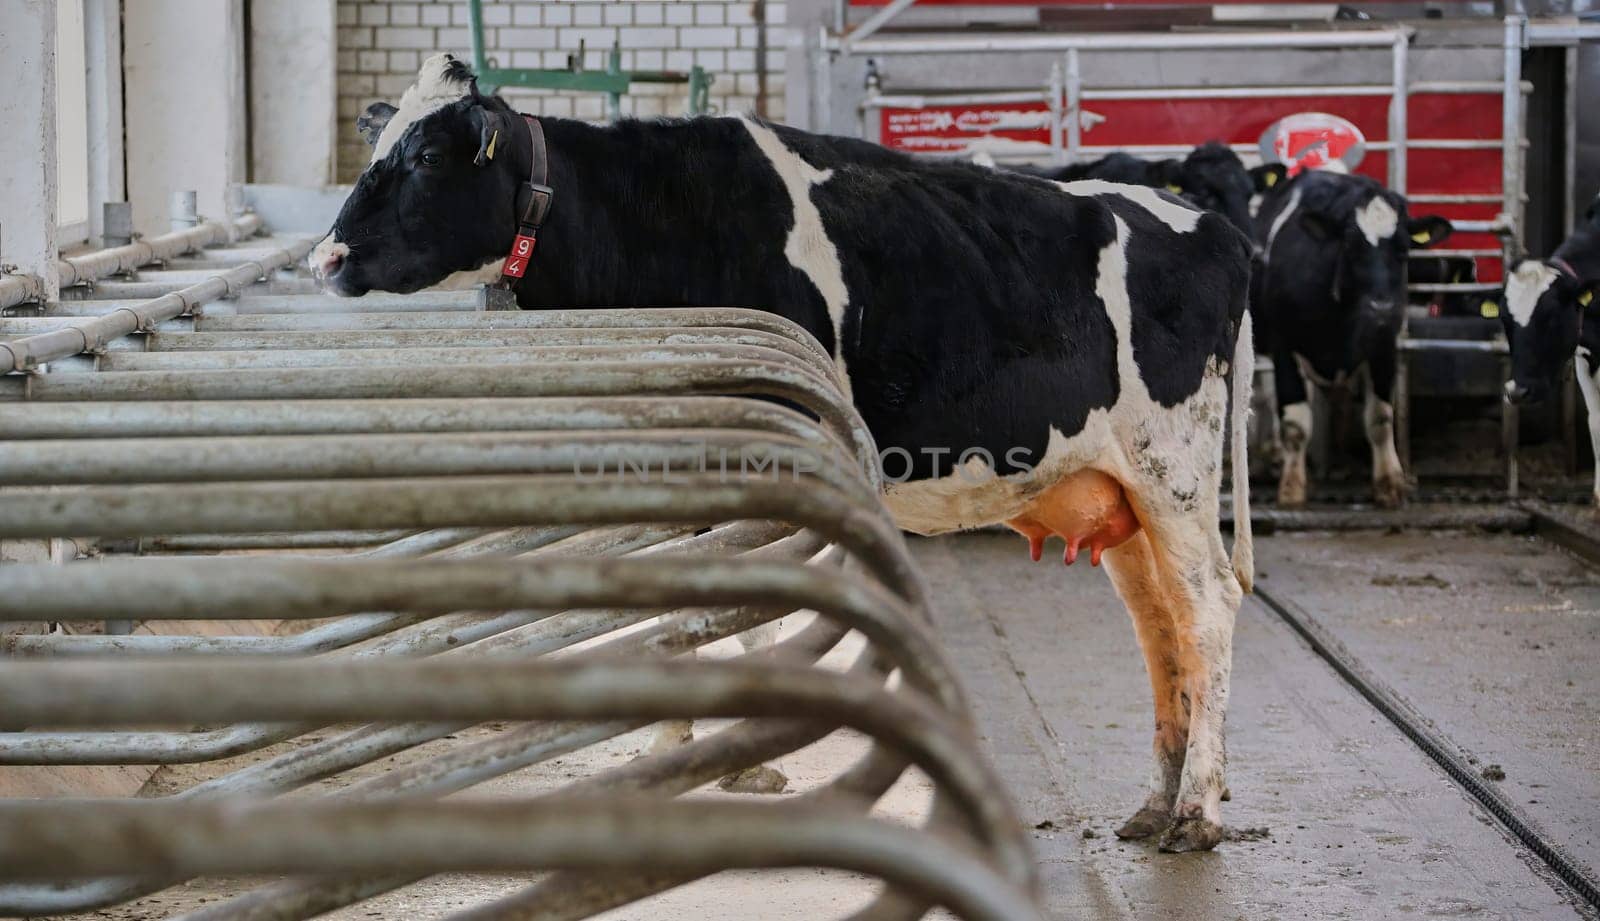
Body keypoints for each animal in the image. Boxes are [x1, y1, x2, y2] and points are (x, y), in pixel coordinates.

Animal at [312, 55, 1260, 850]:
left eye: (427, 156)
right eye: (382, 142)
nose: (326, 257)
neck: (641, 215)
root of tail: (1210, 224)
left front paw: (748, 758)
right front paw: (678, 745)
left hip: (1175, 464)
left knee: (1208, 602)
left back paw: (1198, 811)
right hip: (1118, 489)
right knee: (1159, 618)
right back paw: (1156, 801)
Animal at [1254, 169, 1459, 508]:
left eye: (1403, 248)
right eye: (1350, 244)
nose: (1382, 308)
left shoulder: (1383, 347)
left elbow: (1380, 418)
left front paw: (1390, 483)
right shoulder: (1285, 347)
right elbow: (1296, 423)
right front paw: (1292, 487)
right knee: (1270, 399)